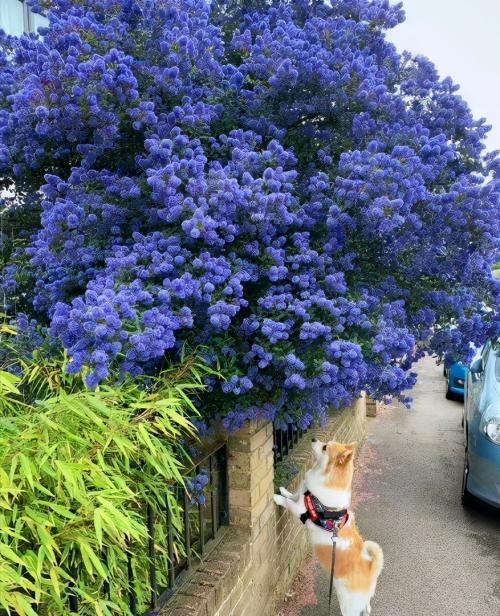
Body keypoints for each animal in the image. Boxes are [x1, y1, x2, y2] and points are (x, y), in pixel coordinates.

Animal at [274, 438, 382, 616]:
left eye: (325, 447)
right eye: (326, 442)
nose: (313, 439)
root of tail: (370, 570)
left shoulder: (299, 509)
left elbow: (288, 501)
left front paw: (276, 497)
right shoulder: (301, 496)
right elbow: (293, 494)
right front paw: (283, 489)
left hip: (348, 606)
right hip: (364, 603)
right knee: (367, 608)